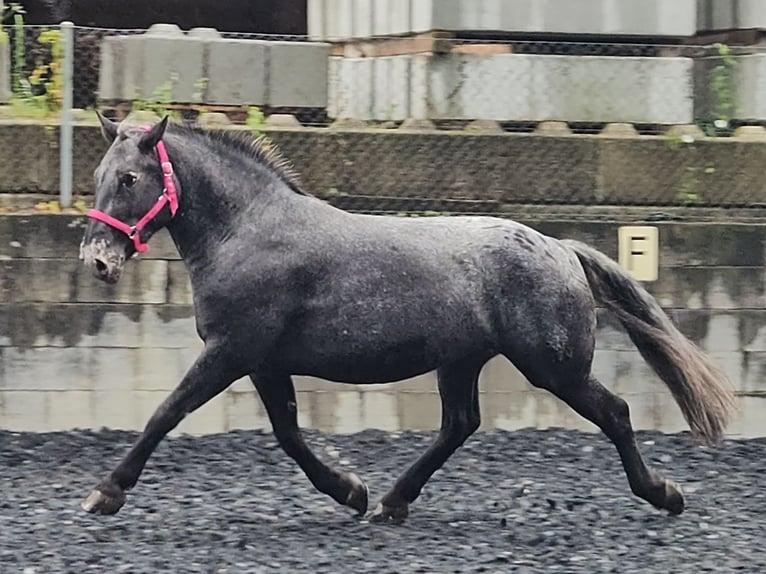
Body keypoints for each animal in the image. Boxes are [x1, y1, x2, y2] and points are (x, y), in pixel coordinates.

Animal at [76, 115, 736, 524]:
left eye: (130, 178)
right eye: (98, 177)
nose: (97, 260)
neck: (246, 231)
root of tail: (562, 248)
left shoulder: (230, 351)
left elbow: (167, 413)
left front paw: (105, 493)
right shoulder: (262, 362)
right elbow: (288, 433)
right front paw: (351, 491)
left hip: (554, 367)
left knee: (615, 412)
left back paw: (665, 495)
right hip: (463, 361)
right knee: (459, 425)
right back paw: (392, 501)